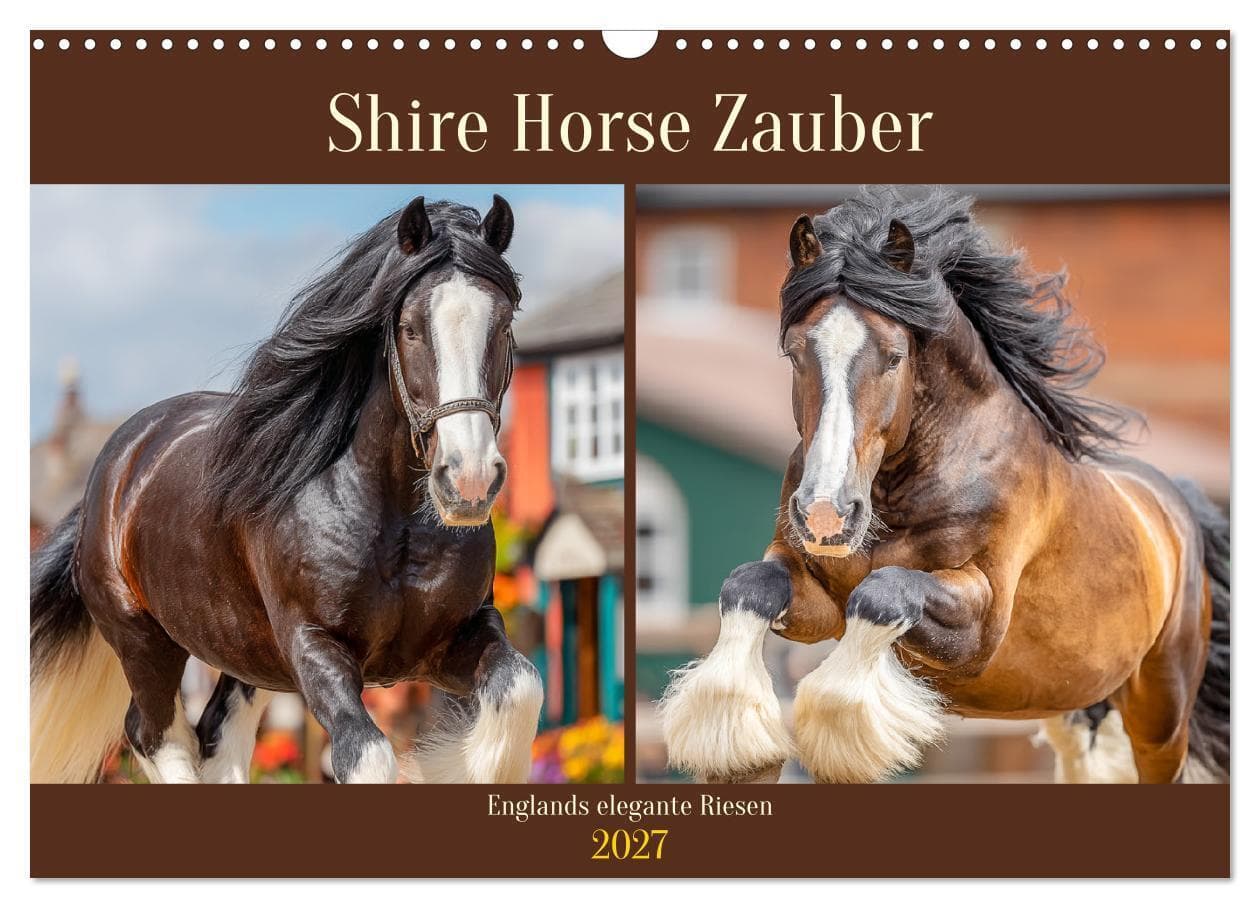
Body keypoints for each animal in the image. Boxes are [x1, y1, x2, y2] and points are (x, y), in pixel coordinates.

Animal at [31, 195, 545, 784]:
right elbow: (367, 757)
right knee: (154, 735)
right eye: (411, 328)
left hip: (245, 656)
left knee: (216, 738)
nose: (469, 481)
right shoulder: (316, 648)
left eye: (502, 325)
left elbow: (521, 689)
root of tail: (116, 467)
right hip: (145, 643)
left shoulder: (453, 639)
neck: (390, 521)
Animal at [660, 187, 1230, 785]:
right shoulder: (817, 602)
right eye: (795, 353)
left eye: (895, 357)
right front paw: (737, 745)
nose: (824, 515)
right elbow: (749, 584)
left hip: (1160, 715)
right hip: (1073, 707)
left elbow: (883, 593)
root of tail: (1176, 509)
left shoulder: (979, 625)